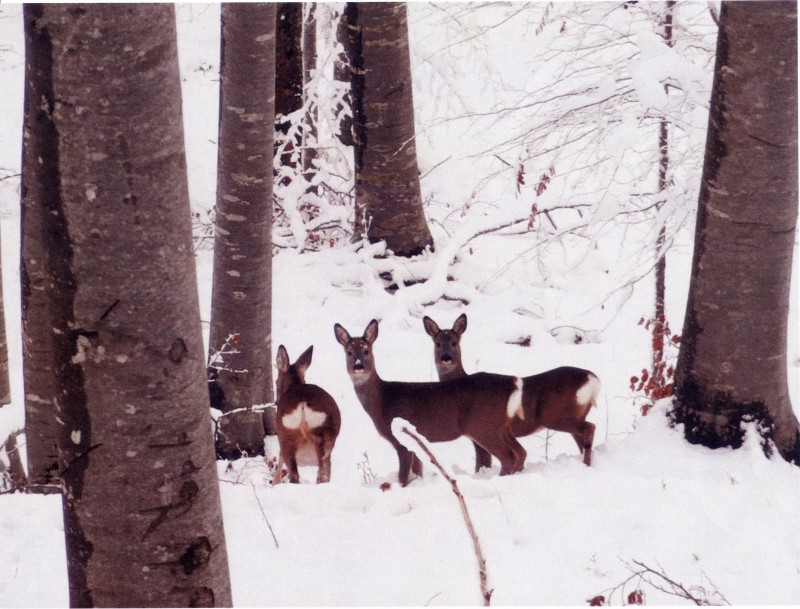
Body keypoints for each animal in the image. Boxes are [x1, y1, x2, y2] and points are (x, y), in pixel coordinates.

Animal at [276, 344, 340, 482]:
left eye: (276, 380)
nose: (276, 401)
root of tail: (303, 404)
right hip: (321, 439)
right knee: (322, 473)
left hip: (286, 435)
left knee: (298, 474)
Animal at [332, 318, 528, 484]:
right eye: (349, 352)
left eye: (366, 351)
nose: (358, 366)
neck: (383, 400)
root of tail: (512, 385)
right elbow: (418, 471)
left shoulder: (400, 437)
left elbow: (403, 477)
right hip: (500, 426)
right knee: (520, 452)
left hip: (482, 425)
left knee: (508, 456)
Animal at [424, 314, 600, 470]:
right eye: (437, 344)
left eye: (454, 343)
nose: (446, 358)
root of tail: (593, 379)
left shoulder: (477, 433)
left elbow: (482, 464)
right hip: (577, 413)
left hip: (555, 416)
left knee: (590, 428)